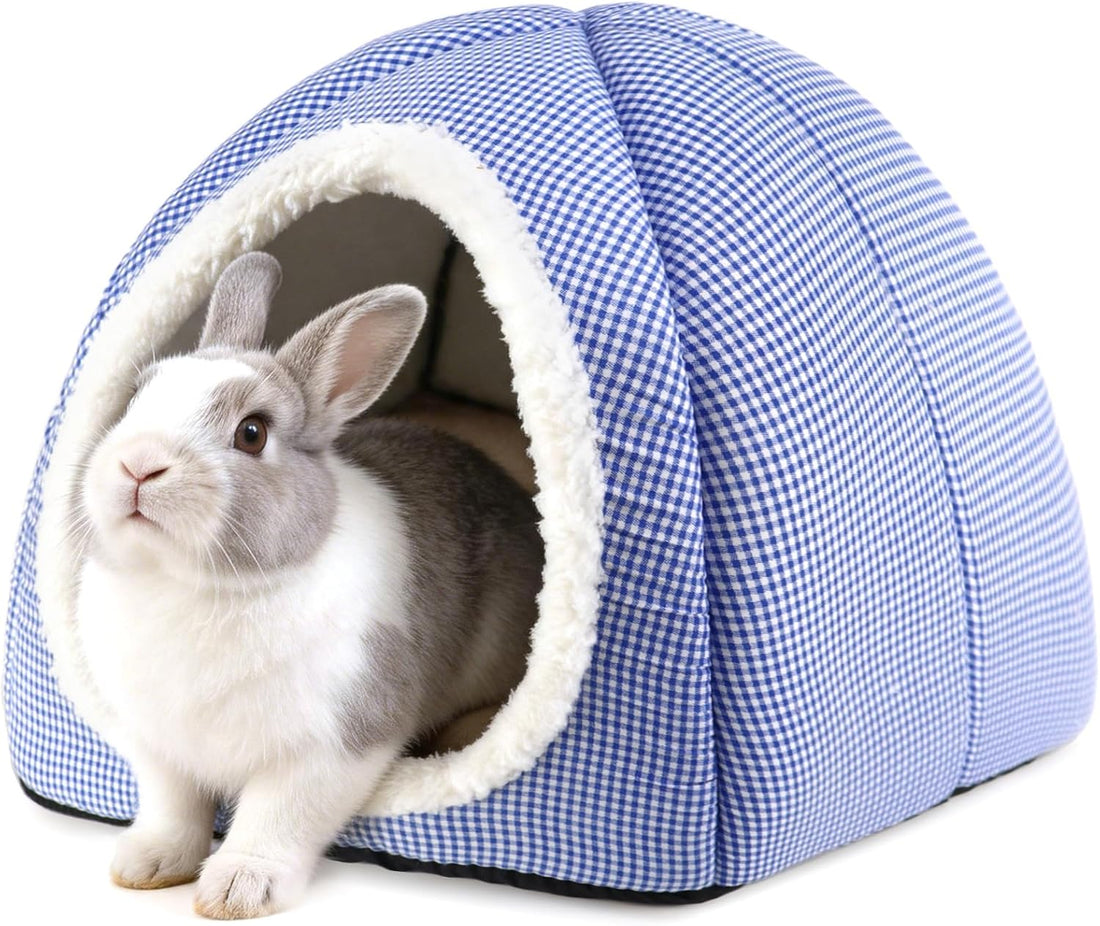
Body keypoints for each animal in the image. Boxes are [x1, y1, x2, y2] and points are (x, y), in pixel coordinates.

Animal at [70, 251, 544, 919]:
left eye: (252, 433)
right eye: (137, 397)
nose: (138, 464)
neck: (195, 586)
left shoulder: (331, 746)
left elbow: (277, 820)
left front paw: (236, 892)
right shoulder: (161, 749)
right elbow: (173, 808)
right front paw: (146, 865)